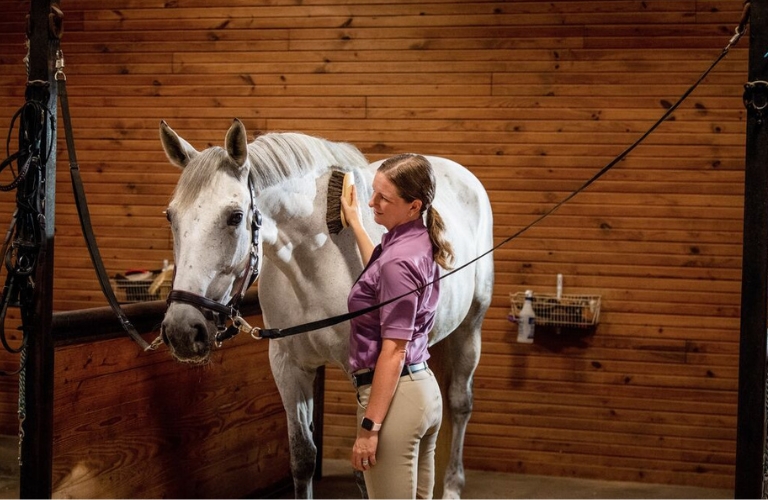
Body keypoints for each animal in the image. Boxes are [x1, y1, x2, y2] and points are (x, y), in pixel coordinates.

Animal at [158, 118, 494, 499]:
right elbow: (303, 456)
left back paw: (452, 486)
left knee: (459, 403)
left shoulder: (365, 371)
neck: (318, 259)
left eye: (235, 216)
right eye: (171, 216)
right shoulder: (288, 366)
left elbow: (366, 470)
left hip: (471, 327)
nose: (182, 330)